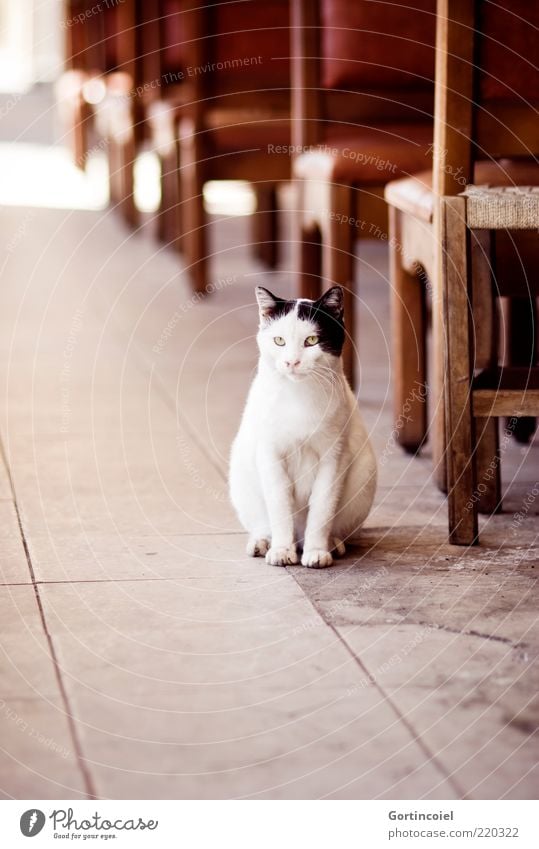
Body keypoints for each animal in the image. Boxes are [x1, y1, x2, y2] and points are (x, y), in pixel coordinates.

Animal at [230, 284, 378, 568]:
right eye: (279, 341)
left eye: (311, 341)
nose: (292, 362)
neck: (297, 396)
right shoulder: (270, 454)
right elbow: (279, 504)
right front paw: (280, 550)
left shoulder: (334, 457)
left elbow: (322, 508)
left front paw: (317, 551)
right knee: (262, 522)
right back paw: (263, 542)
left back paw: (331, 544)